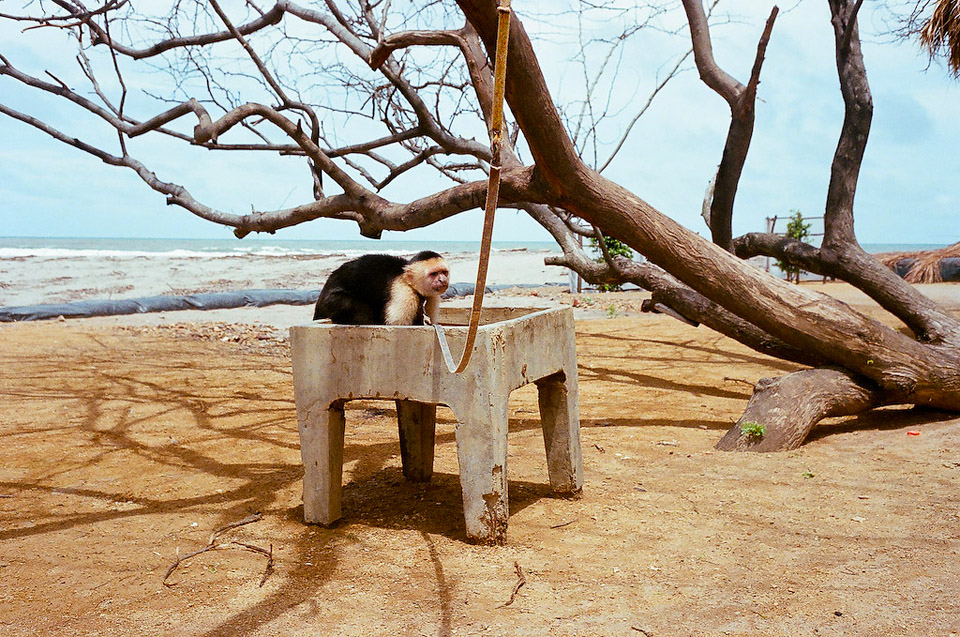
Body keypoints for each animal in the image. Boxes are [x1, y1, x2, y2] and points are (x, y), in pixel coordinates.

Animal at [313, 251, 450, 326]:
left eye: (444, 272)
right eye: (434, 274)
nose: (443, 280)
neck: (408, 281)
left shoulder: (432, 297)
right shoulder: (403, 292)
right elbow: (396, 324)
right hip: (329, 302)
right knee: (361, 309)